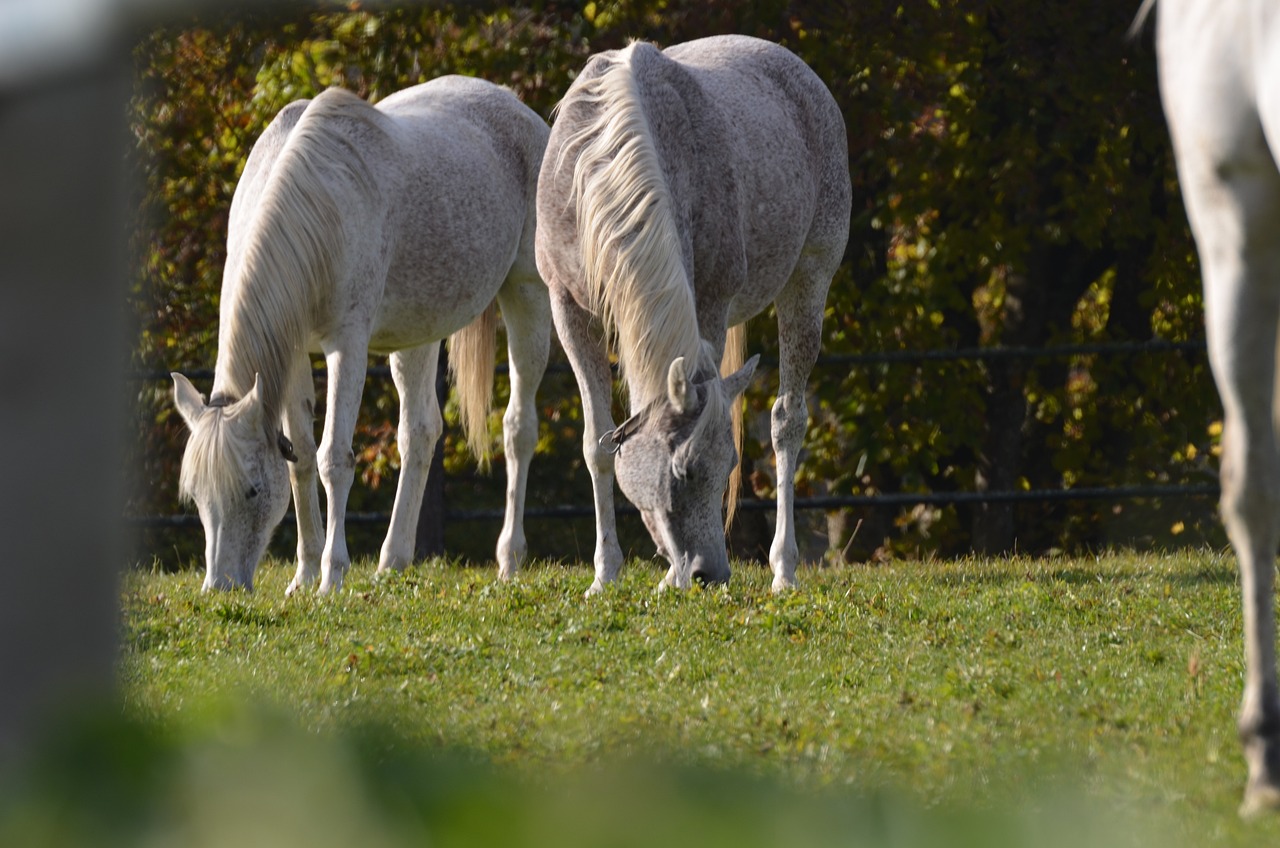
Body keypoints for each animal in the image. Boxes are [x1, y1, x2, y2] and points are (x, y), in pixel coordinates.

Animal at [171, 81, 550, 596]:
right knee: (419, 433)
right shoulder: (292, 356)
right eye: (196, 495)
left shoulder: (346, 347)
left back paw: (509, 559)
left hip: (527, 295)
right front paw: (305, 573)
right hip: (418, 333)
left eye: (250, 490)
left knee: (517, 428)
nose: (219, 587)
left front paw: (332, 576)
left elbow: (334, 457)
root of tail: (519, 109)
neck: (317, 208)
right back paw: (393, 561)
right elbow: (301, 459)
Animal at [535, 36, 855, 594]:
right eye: (681, 471)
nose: (710, 573)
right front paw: (605, 573)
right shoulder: (567, 307)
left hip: (810, 279)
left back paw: (784, 570)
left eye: (728, 463)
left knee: (787, 422)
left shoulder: (709, 303)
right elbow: (597, 444)